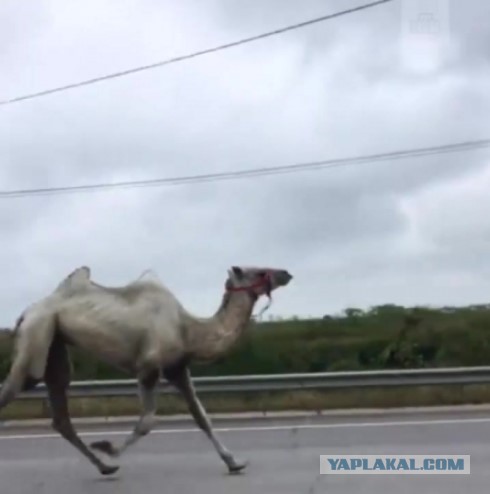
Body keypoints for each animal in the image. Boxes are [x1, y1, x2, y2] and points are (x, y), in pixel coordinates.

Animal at [0, 264, 290, 476]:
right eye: (258, 271)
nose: (286, 273)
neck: (188, 330)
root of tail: (24, 314)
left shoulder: (177, 369)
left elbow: (201, 416)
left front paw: (234, 462)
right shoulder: (148, 366)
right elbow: (148, 421)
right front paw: (107, 446)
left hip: (55, 344)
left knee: (60, 414)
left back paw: (106, 468)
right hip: (37, 334)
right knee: (14, 389)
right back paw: (106, 462)